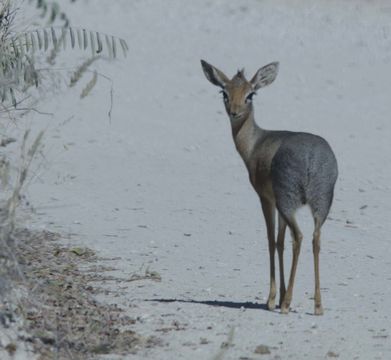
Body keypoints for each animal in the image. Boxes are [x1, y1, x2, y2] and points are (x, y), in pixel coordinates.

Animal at [201, 60, 338, 314]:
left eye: (250, 94)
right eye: (224, 92)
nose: (234, 111)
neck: (255, 145)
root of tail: (311, 159)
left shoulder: (266, 199)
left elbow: (271, 240)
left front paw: (273, 298)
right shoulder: (278, 204)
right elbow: (280, 241)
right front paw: (280, 295)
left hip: (288, 201)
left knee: (299, 236)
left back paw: (286, 304)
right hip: (320, 203)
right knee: (315, 238)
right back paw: (317, 306)